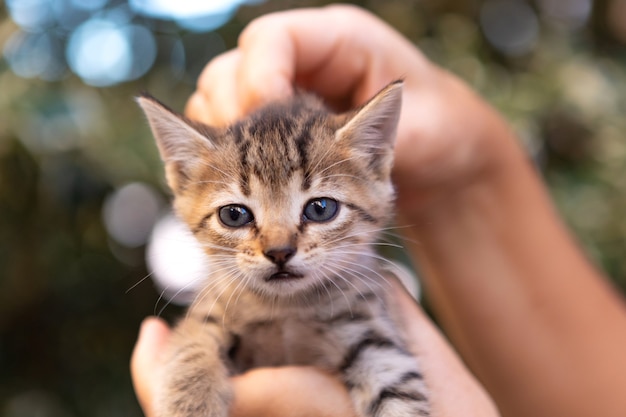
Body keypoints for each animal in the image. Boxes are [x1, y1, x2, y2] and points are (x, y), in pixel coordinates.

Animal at [136, 81, 428, 416]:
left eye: (320, 208)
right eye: (233, 215)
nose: (279, 252)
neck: (285, 309)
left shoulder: (373, 335)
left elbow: (401, 392)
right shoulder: (207, 313)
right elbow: (190, 349)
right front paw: (192, 404)